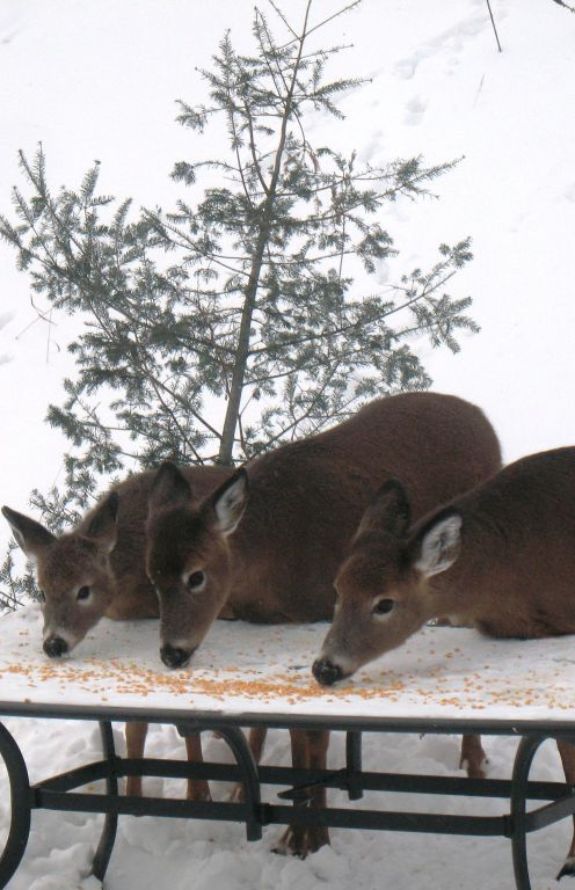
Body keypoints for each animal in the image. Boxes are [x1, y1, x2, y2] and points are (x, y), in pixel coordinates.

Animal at [3, 464, 234, 796]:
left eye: (84, 590)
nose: (53, 644)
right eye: (43, 592)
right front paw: (134, 791)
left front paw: (199, 792)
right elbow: (134, 727)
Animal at [145, 392, 504, 856]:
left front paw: (306, 838)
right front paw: (257, 803)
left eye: (196, 576)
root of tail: (480, 416)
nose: (172, 652)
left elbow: (315, 732)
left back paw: (475, 765)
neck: (271, 556)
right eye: (152, 576)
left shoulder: (321, 614)